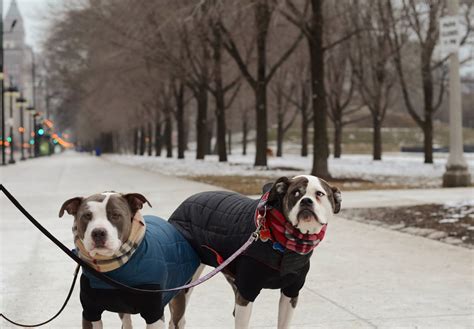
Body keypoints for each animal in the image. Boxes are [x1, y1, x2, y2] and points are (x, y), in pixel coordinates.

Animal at [59, 192, 202, 328]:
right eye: (87, 216)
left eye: (116, 215)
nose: (98, 232)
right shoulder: (90, 312)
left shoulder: (154, 313)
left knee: (177, 321)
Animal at [168, 173, 340, 326]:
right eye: (295, 193)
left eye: (319, 194)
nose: (306, 201)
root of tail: (186, 202)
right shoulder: (246, 292)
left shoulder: (291, 291)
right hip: (185, 281)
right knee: (177, 319)